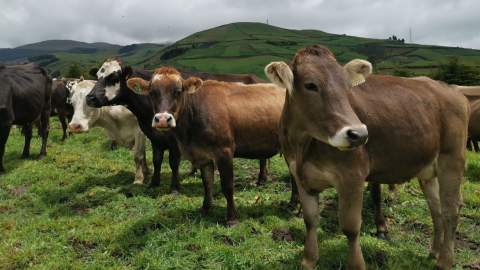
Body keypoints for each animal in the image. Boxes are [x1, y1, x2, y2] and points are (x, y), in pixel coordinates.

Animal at [264, 44, 466, 270]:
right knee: (436, 207)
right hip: (428, 167)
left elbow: (351, 227)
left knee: (451, 208)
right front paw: (309, 260)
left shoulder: (352, 176)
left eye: (347, 87)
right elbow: (310, 219)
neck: (303, 147)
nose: (359, 134)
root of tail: (448, 87)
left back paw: (444, 261)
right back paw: (434, 252)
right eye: (310, 85)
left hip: (452, 159)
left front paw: (357, 264)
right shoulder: (300, 175)